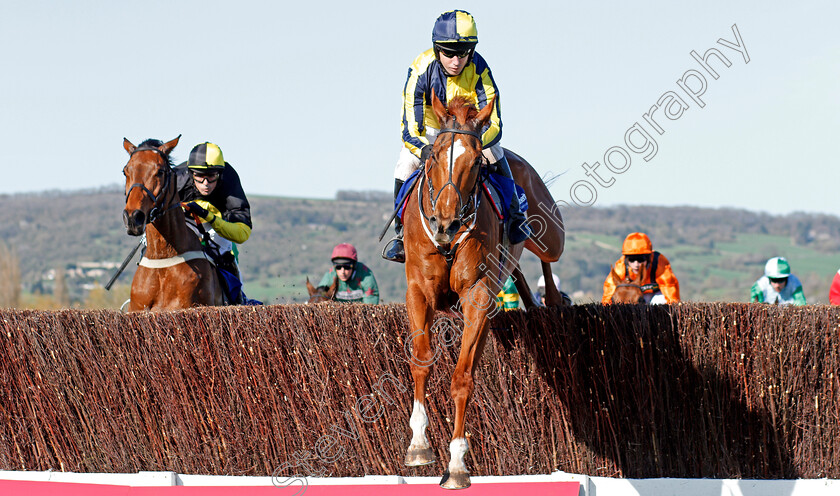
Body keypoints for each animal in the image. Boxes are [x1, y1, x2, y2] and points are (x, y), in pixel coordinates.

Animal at [400, 93, 564, 488]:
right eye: (434, 155)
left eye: (475, 161)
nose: (445, 223)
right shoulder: (418, 291)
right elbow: (421, 360)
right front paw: (418, 445)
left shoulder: (477, 295)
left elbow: (462, 378)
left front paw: (457, 464)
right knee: (516, 265)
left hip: (551, 233)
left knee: (545, 252)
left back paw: (551, 299)